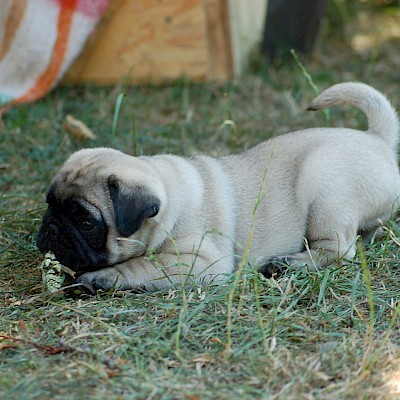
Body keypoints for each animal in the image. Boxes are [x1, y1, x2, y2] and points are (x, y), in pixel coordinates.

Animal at [36, 82, 400, 294]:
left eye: (85, 222)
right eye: (49, 205)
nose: (51, 228)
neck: (169, 195)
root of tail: (378, 139)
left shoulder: (201, 261)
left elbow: (142, 266)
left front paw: (101, 278)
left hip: (325, 187)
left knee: (339, 249)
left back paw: (287, 263)